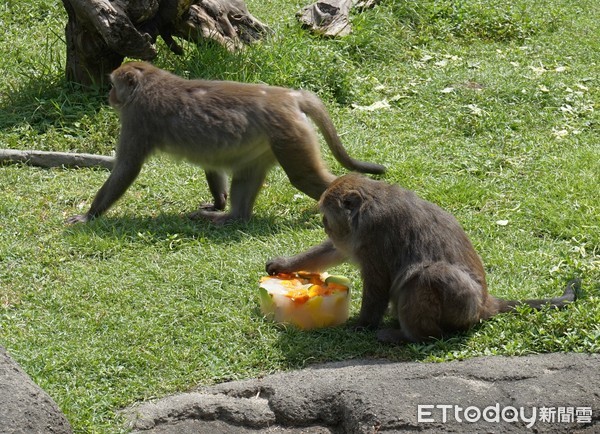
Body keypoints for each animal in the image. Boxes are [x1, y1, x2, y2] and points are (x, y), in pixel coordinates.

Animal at [266, 173, 576, 342]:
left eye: (326, 216)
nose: (324, 224)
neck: (368, 206)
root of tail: (485, 303)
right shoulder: (356, 237)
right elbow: (335, 250)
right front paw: (285, 264)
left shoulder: (375, 235)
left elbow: (378, 284)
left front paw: (362, 325)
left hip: (462, 308)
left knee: (427, 276)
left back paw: (411, 336)